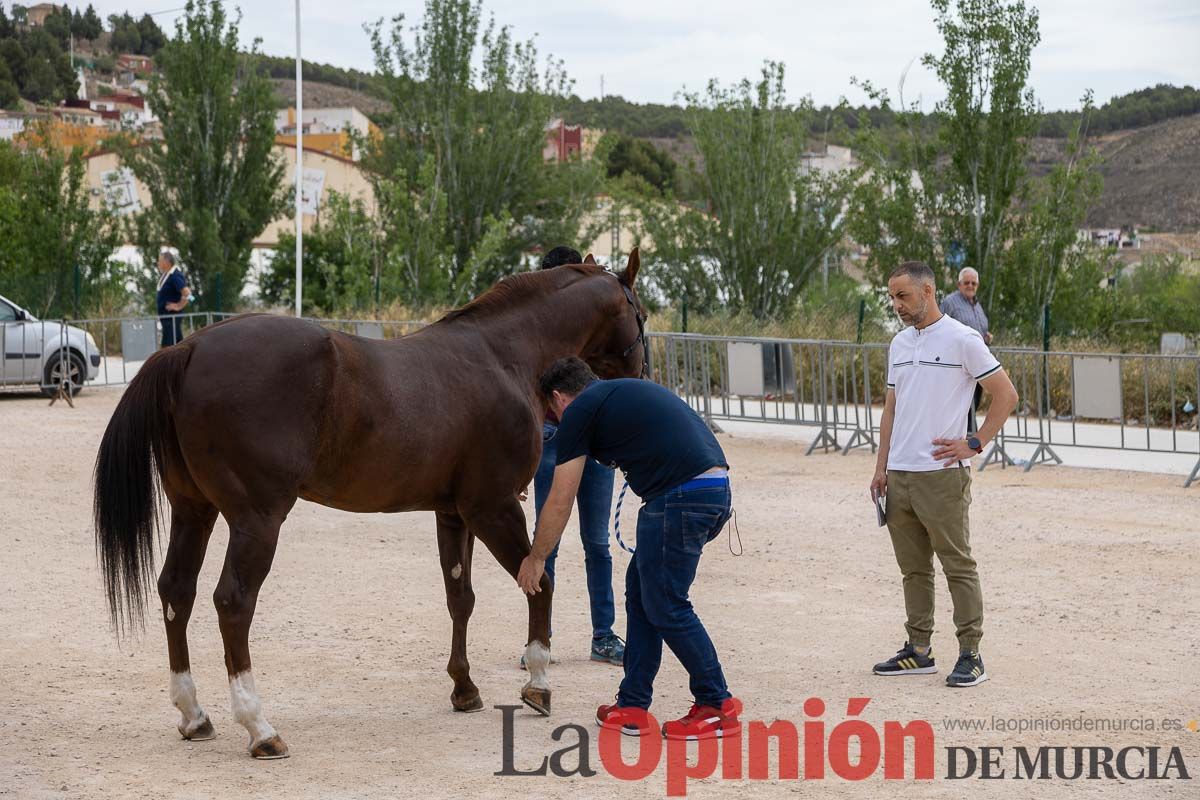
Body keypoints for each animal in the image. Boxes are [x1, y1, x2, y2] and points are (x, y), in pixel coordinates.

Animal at [93, 253, 648, 762]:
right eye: (640, 313)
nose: (642, 378)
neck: (503, 357)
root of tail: (188, 347)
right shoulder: (493, 508)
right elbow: (540, 582)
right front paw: (538, 681)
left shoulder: (453, 514)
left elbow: (460, 597)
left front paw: (464, 689)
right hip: (257, 521)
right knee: (233, 602)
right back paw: (259, 727)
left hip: (194, 511)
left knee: (176, 592)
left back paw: (194, 715)